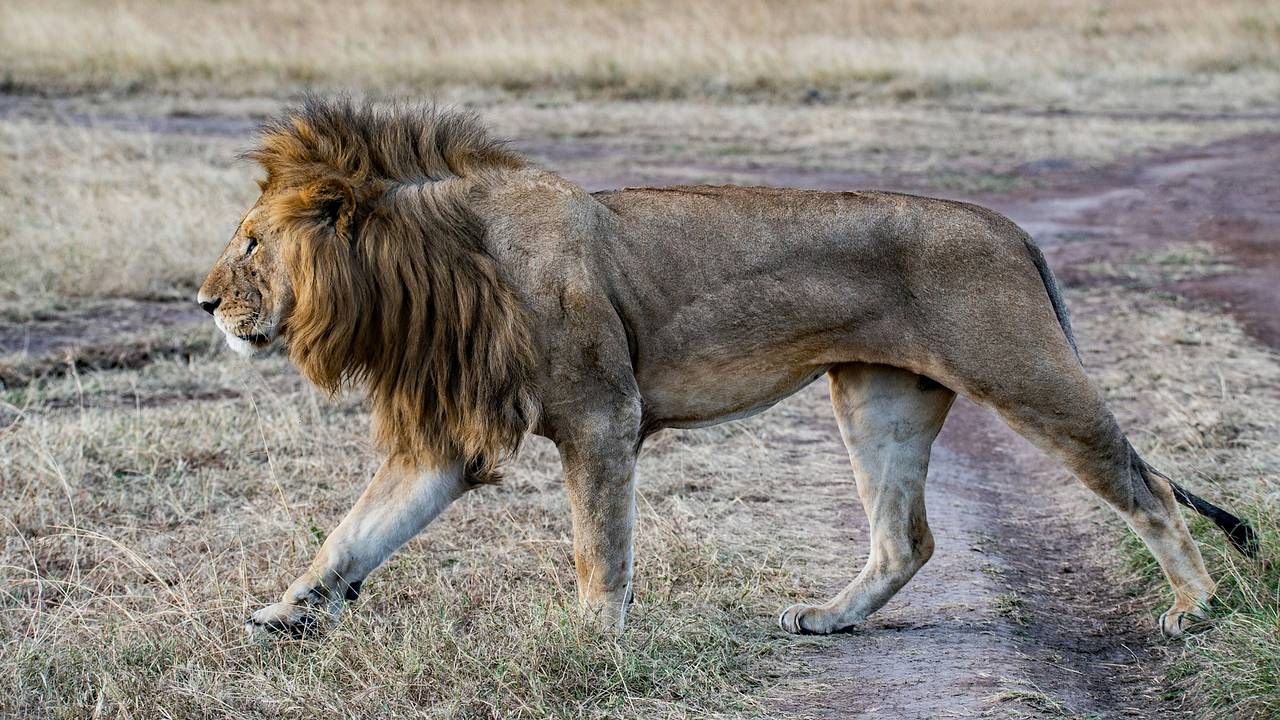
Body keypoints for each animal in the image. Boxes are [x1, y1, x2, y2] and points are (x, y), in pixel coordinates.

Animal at [197, 98, 1255, 641]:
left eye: (250, 244)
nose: (202, 304)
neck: (438, 267)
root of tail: (1010, 225)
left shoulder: (602, 416)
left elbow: (599, 547)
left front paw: (595, 643)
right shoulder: (448, 441)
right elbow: (353, 534)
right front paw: (284, 613)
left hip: (1028, 376)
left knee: (1149, 487)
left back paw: (1195, 608)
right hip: (876, 398)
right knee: (905, 539)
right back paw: (828, 617)